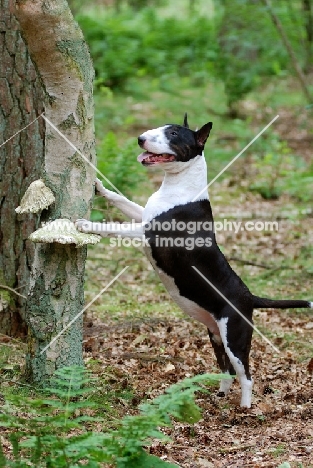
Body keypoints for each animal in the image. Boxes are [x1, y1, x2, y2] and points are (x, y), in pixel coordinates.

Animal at [76, 113, 312, 406]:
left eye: (174, 134)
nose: (140, 138)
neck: (180, 186)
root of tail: (250, 297)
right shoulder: (143, 215)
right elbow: (122, 200)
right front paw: (100, 187)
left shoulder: (149, 234)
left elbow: (113, 227)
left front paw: (86, 225)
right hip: (215, 335)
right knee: (226, 370)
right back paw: (220, 395)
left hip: (235, 337)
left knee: (246, 375)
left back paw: (245, 408)